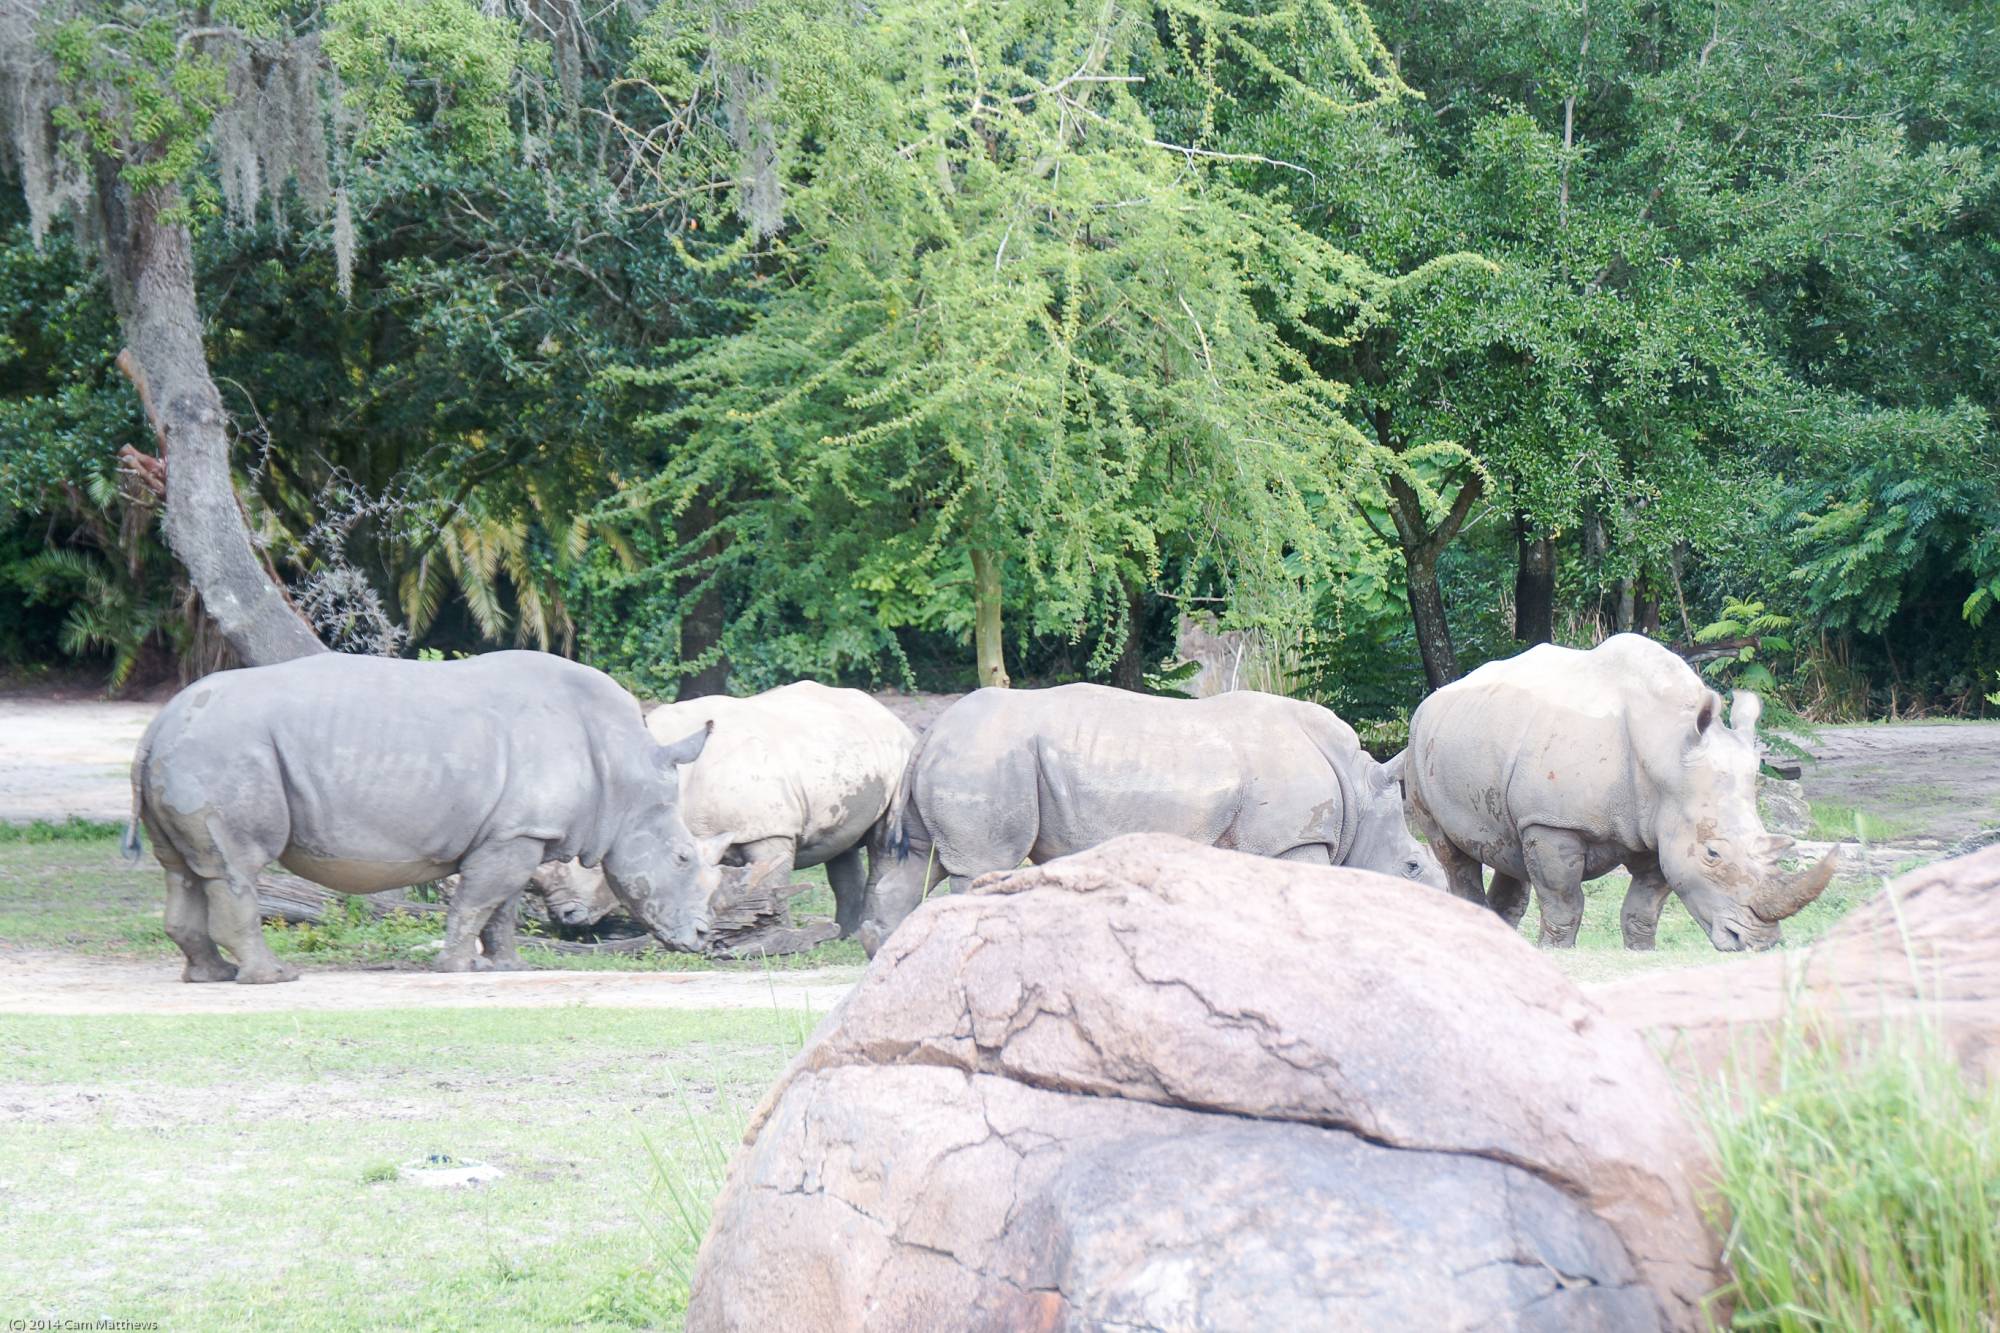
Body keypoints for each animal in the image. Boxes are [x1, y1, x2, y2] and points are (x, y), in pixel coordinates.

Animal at [127, 652, 720, 976]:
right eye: (683, 859)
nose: (703, 938)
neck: (625, 770)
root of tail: (157, 724)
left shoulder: (516, 833)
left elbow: (501, 906)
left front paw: (510, 967)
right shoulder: (516, 833)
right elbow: (478, 901)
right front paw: (458, 968)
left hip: (191, 749)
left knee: (184, 869)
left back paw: (212, 975)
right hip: (223, 750)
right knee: (238, 868)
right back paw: (275, 977)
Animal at [856, 680, 1440, 948]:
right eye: (1411, 867)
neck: (1360, 791)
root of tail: (929, 732)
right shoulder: (1292, 840)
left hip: (968, 758)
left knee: (914, 861)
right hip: (986, 760)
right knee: (981, 864)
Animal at [1400, 632, 1832, 948]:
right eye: (1712, 854)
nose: (1761, 943)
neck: (1666, 749)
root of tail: (1436, 697)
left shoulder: (1661, 828)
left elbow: (1645, 906)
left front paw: (1640, 950)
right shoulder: (1553, 823)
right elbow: (1563, 901)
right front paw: (1555, 951)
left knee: (1508, 847)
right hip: (1418, 745)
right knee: (1453, 855)